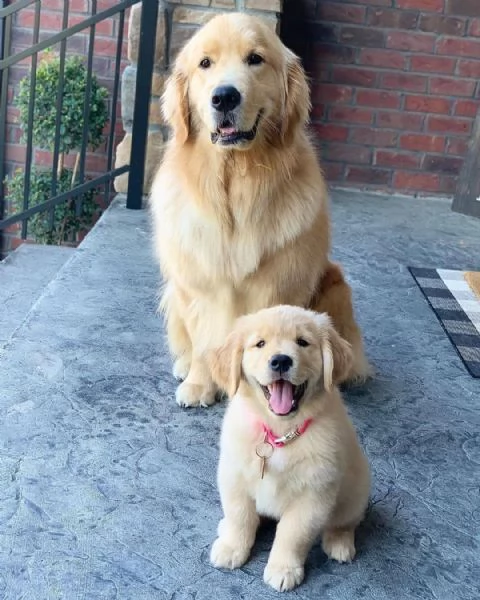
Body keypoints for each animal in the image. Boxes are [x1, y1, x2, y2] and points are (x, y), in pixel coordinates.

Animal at [152, 12, 370, 408]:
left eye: (255, 59)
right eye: (205, 63)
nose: (224, 96)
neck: (236, 183)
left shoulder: (280, 281)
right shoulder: (198, 284)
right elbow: (204, 340)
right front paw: (199, 384)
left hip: (336, 286)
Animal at [208, 308, 370, 592]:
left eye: (302, 342)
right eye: (260, 344)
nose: (281, 361)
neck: (279, 434)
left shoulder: (314, 496)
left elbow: (293, 534)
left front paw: (283, 569)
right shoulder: (233, 476)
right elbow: (240, 516)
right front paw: (231, 548)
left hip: (356, 491)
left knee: (345, 522)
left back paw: (339, 543)